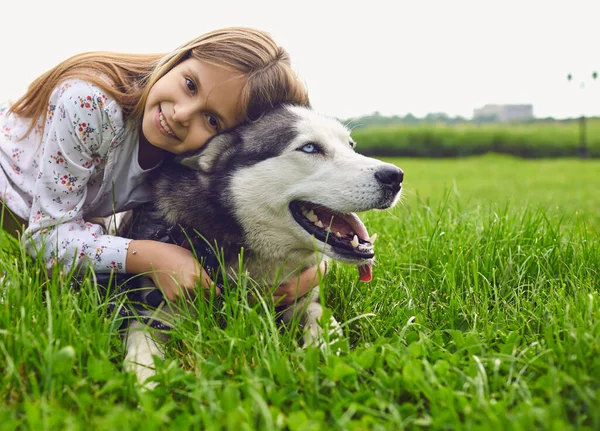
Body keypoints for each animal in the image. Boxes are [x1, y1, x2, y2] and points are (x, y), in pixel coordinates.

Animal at [121, 105, 404, 388]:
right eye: (310, 148)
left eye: (351, 146)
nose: (396, 176)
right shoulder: (153, 315)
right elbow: (142, 351)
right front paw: (145, 382)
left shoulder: (304, 298)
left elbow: (322, 317)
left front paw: (328, 352)